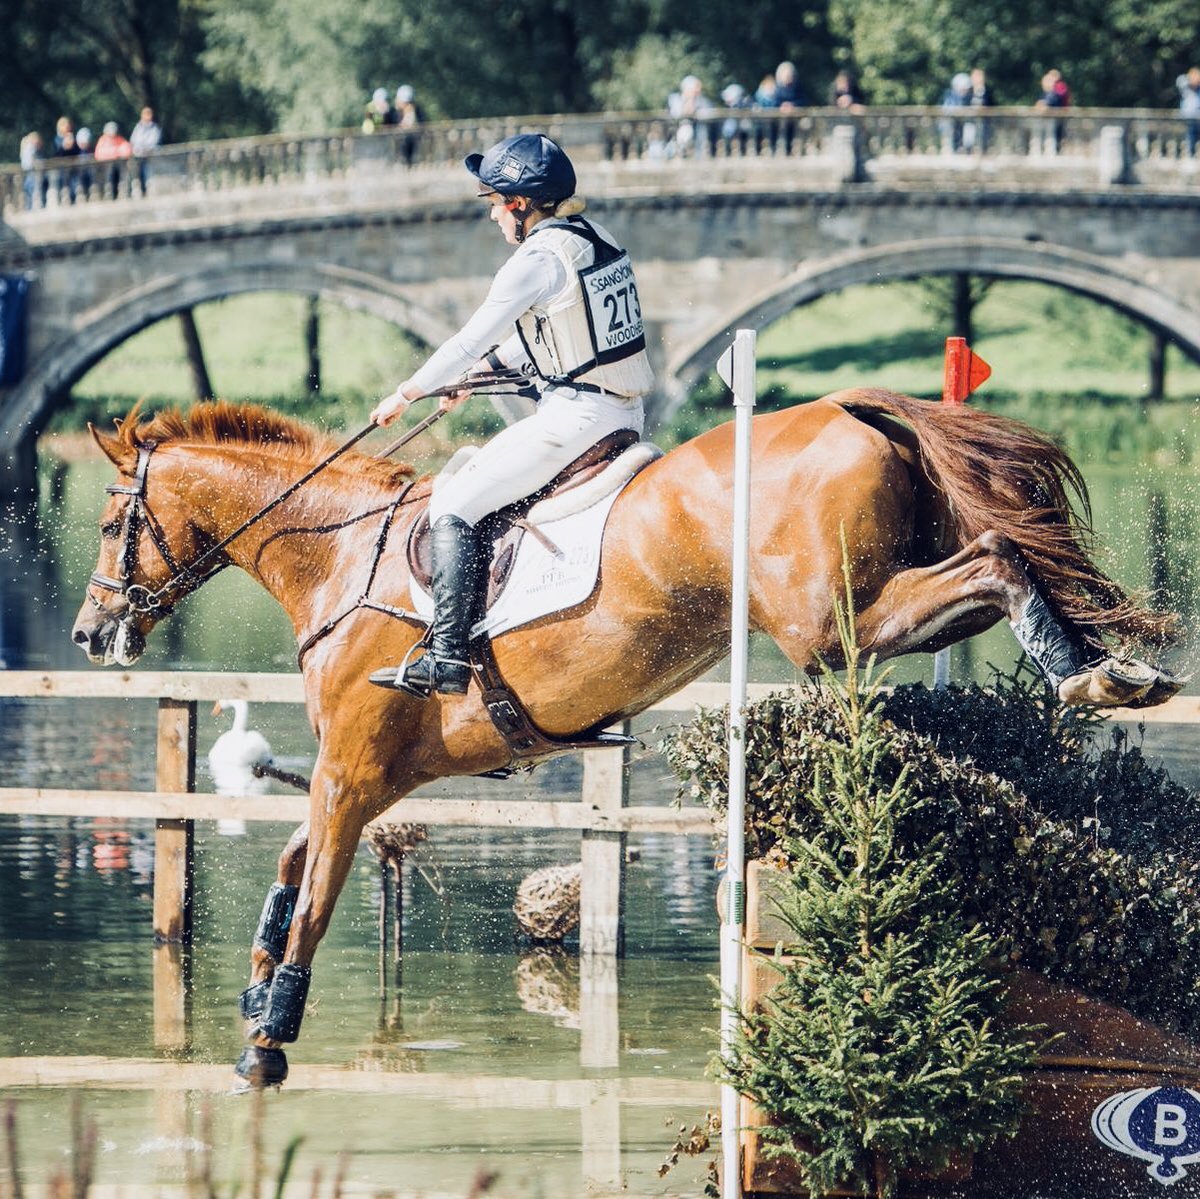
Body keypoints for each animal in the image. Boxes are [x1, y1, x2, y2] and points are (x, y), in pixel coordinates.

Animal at [72, 391, 1180, 1085]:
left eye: (108, 524)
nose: (89, 633)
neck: (343, 552)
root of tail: (851, 407)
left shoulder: (352, 771)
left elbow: (311, 897)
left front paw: (269, 1040)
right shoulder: (372, 776)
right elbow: (290, 873)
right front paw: (256, 993)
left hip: (829, 624)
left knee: (993, 555)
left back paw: (1093, 666)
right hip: (865, 604)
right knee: (996, 557)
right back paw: (1101, 667)